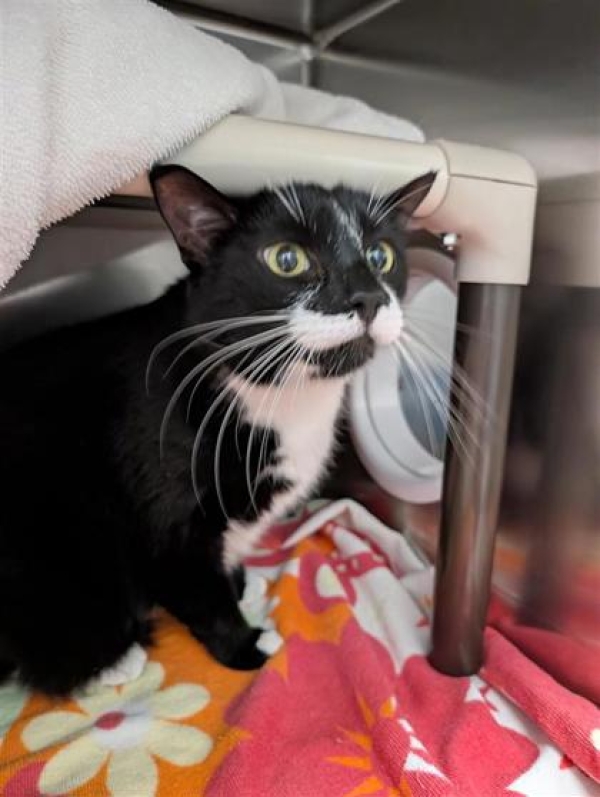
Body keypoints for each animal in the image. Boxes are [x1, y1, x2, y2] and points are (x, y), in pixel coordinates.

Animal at [0, 165, 435, 695]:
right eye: (286, 259)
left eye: (380, 255)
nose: (368, 297)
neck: (281, 399)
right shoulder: (164, 514)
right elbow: (198, 590)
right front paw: (247, 645)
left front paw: (240, 582)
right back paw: (116, 660)